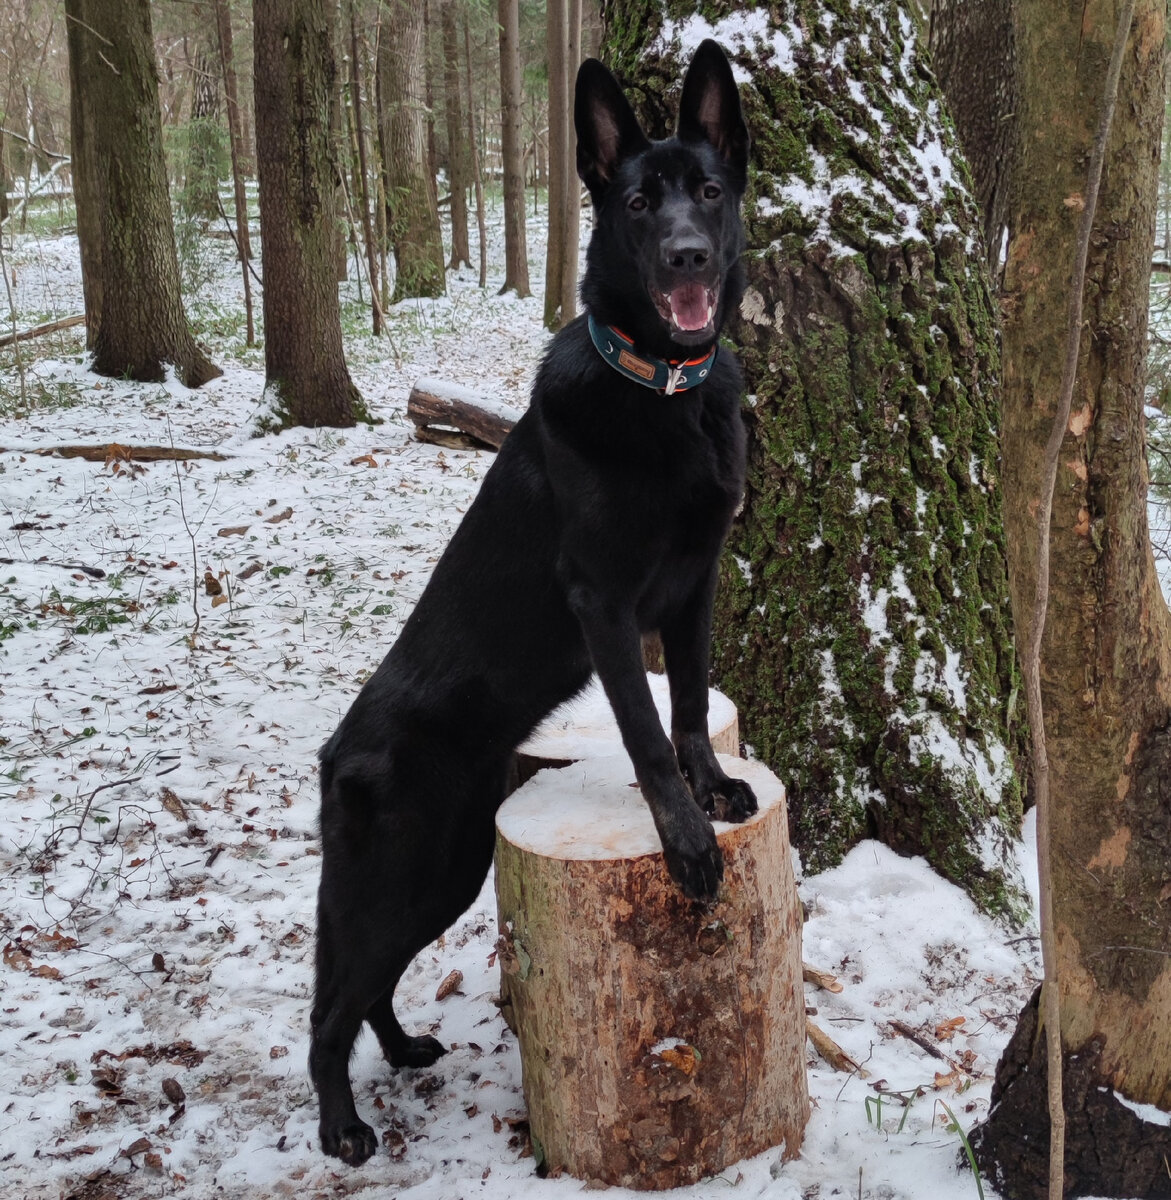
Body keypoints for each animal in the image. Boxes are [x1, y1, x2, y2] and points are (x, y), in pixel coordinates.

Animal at [305, 42, 753, 1166]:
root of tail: (334, 754)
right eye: (636, 203)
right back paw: (340, 1124)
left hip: (448, 867)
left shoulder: (691, 590)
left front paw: (717, 787)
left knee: (369, 987)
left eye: (708, 192)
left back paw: (404, 1049)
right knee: (328, 1007)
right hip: (400, 876)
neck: (658, 394)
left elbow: (689, 709)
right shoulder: (605, 605)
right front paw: (683, 838)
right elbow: (643, 733)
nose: (687, 258)